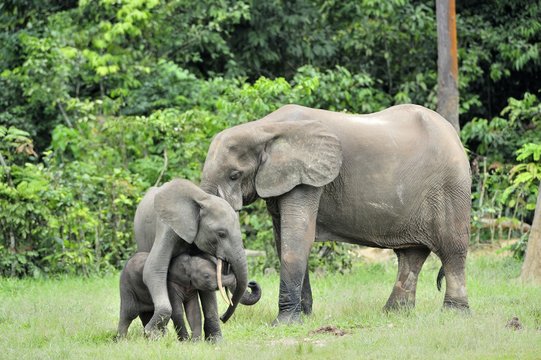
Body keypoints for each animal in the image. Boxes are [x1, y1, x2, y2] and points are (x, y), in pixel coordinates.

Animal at [116, 253, 262, 340]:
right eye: (206, 276)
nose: (252, 283)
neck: (188, 262)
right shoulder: (170, 284)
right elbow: (177, 311)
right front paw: (185, 341)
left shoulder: (191, 287)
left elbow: (194, 310)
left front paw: (195, 342)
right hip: (127, 285)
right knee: (130, 312)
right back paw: (122, 340)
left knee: (149, 314)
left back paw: (154, 339)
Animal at [135, 180, 247, 340]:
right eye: (221, 234)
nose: (223, 317)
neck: (202, 199)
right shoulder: (167, 227)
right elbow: (154, 269)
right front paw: (151, 334)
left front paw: (216, 341)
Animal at [200, 103, 470, 324]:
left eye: (234, 175)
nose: (224, 318)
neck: (263, 128)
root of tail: (453, 135)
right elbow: (282, 240)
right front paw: (304, 318)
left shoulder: (307, 178)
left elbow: (296, 238)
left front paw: (284, 323)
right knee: (411, 254)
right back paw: (394, 313)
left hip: (450, 186)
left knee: (451, 249)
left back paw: (453, 314)